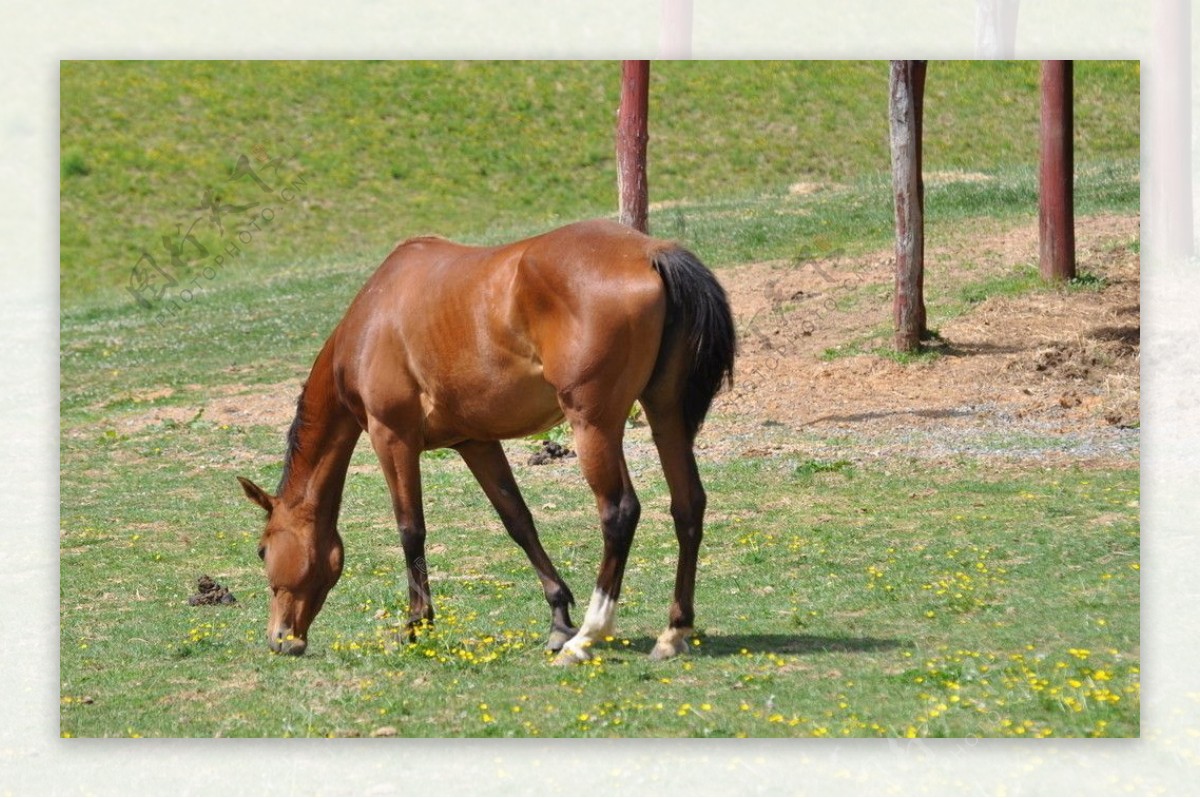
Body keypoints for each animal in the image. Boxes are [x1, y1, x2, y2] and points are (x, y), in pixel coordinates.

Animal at [238, 218, 734, 667]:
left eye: (263, 549)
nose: (280, 638)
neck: (372, 319)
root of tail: (651, 252)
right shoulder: (476, 442)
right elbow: (518, 521)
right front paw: (558, 618)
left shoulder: (391, 438)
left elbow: (410, 528)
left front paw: (416, 623)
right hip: (665, 413)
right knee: (687, 504)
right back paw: (673, 633)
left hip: (594, 425)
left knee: (620, 512)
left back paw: (588, 637)